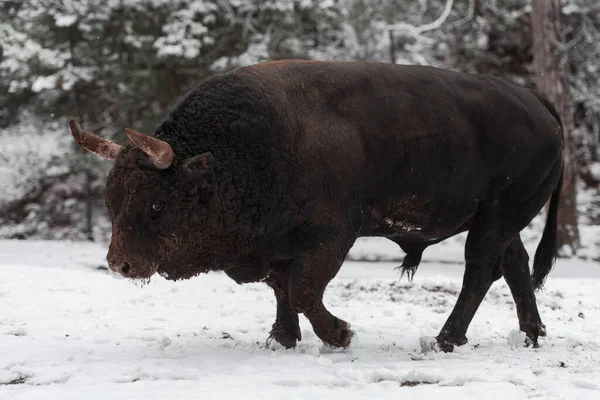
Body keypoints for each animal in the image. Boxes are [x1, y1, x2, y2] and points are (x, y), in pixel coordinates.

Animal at [69, 61, 564, 352]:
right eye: (112, 199)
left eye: (156, 203)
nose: (120, 264)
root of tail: (538, 104)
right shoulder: (273, 244)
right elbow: (281, 287)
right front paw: (281, 338)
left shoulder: (331, 236)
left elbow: (303, 289)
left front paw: (340, 334)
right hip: (498, 220)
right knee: (514, 265)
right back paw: (530, 335)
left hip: (496, 218)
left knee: (479, 271)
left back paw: (445, 339)